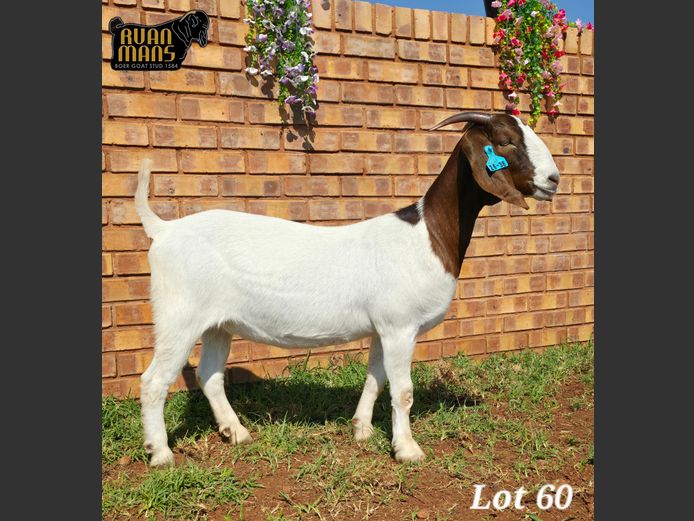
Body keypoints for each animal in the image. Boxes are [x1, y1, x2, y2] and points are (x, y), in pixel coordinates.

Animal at [134, 112, 560, 467]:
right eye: (505, 140)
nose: (554, 179)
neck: (426, 234)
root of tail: (164, 229)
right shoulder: (400, 326)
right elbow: (403, 390)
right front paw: (407, 450)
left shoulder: (382, 328)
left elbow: (376, 379)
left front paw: (362, 430)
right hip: (178, 315)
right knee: (154, 381)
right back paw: (161, 454)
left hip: (217, 324)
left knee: (209, 375)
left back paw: (236, 433)